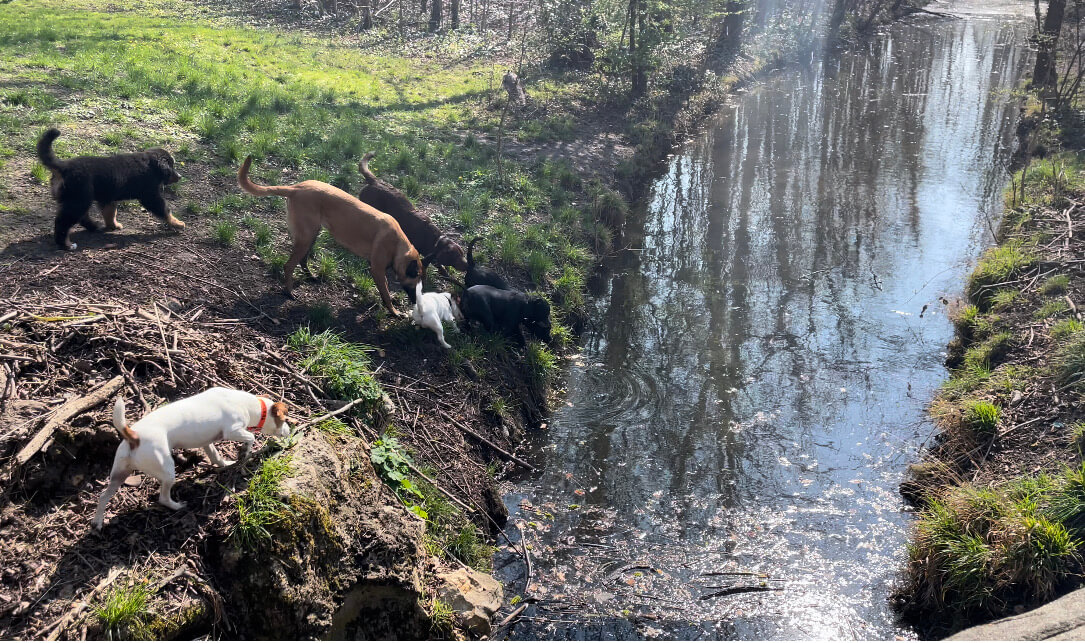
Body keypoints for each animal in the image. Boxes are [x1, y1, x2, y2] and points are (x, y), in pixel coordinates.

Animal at [37, 127, 184, 250]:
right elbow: (165, 210)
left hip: (78, 199)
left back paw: (94, 226)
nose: (180, 176)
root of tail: (63, 167)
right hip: (78, 200)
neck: (150, 165)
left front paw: (113, 226)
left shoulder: (108, 197)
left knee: (81, 217)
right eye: (171, 165)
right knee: (62, 223)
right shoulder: (150, 196)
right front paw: (177, 223)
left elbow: (110, 213)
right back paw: (66, 244)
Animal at [92, 386, 292, 526]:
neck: (249, 405)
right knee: (163, 498)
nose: (290, 431)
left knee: (103, 496)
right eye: (283, 420)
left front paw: (225, 463)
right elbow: (250, 437)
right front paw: (245, 451)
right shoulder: (233, 431)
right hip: (167, 471)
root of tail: (134, 436)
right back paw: (177, 506)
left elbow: (215, 456)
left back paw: (97, 523)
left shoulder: (207, 442)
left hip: (119, 473)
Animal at [238, 155, 423, 316]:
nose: (416, 302)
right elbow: (385, 293)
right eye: (416, 285)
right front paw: (394, 312)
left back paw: (310, 276)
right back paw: (289, 292)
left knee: (302, 260)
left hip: (312, 235)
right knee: (289, 265)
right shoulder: (377, 270)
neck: (398, 244)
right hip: (306, 237)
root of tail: (295, 188)